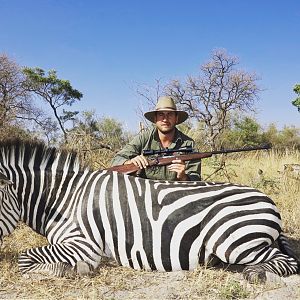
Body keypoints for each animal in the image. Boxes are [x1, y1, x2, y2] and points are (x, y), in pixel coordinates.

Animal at [0, 139, 298, 282]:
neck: (66, 198)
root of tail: (268, 199)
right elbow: (27, 258)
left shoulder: (85, 244)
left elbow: (25, 260)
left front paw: (73, 270)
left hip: (230, 240)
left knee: (286, 262)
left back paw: (255, 273)